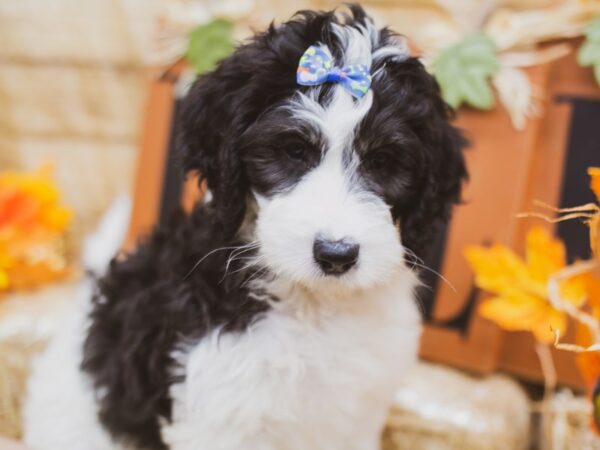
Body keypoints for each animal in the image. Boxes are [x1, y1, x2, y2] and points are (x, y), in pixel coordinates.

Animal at [24, 4, 468, 450]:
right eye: (294, 151)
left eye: (383, 162)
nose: (336, 255)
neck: (314, 304)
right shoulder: (221, 412)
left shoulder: (357, 415)